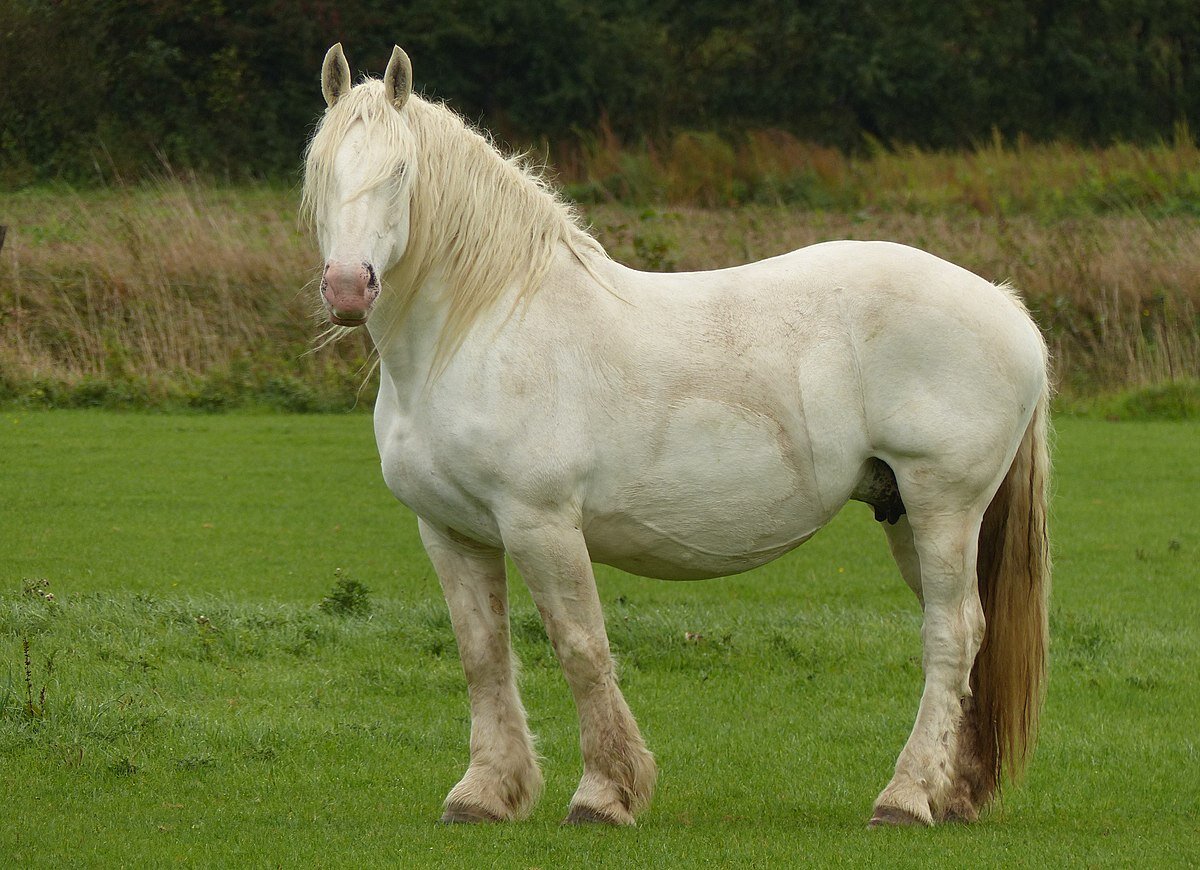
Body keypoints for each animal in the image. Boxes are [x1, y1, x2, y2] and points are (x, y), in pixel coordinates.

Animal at [302, 45, 1051, 830]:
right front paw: (485, 793)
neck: (482, 328)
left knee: (952, 633)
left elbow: (580, 647)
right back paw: (954, 793)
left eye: (399, 172)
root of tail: (1006, 306)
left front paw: (604, 794)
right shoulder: (450, 531)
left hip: (944, 507)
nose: (349, 287)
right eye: (321, 171)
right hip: (905, 511)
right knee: (966, 636)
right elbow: (482, 653)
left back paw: (905, 798)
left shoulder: (540, 523)